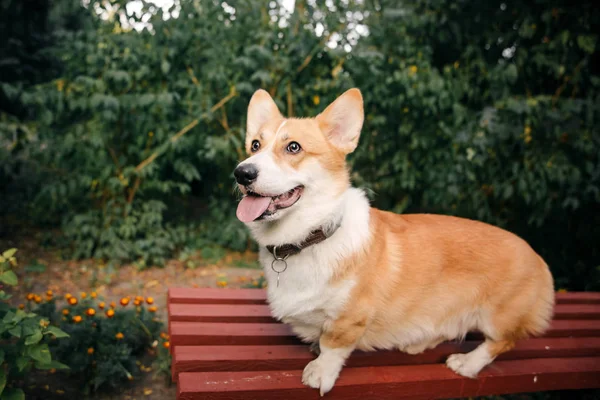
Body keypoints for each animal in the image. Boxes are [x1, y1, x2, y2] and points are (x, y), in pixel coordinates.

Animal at [233, 87, 552, 394]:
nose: (242, 173)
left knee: (501, 342)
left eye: (293, 147)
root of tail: (538, 257)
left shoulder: (350, 319)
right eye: (255, 145)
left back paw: (467, 363)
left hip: (497, 317)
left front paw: (320, 373)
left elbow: (332, 346)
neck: (312, 237)